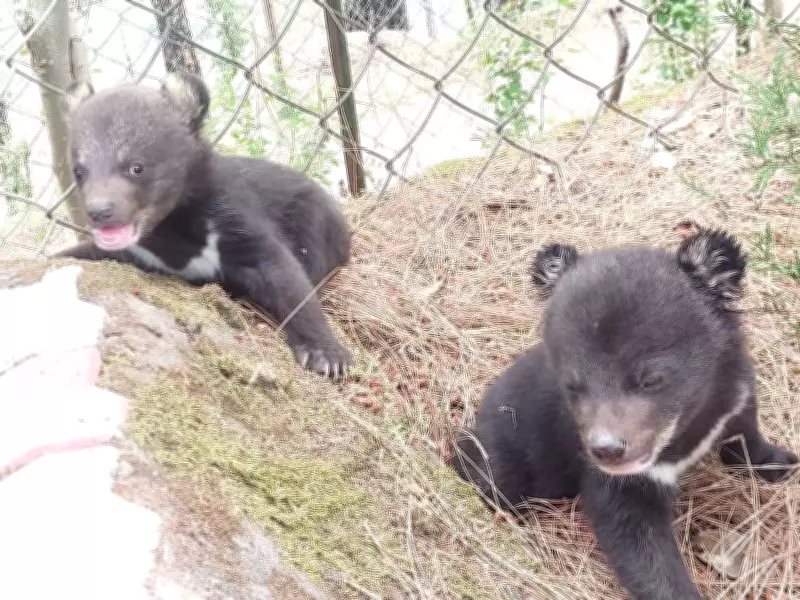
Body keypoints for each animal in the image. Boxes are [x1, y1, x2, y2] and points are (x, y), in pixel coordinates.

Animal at [54, 70, 352, 378]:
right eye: (79, 171)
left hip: (316, 216)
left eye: (136, 167)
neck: (171, 230)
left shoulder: (233, 217)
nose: (99, 212)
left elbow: (284, 274)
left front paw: (327, 356)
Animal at [452, 229, 797, 600]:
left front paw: (780, 462)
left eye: (651, 379)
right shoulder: (621, 481)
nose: (607, 450)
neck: (687, 426)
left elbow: (745, 428)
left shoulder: (735, 386)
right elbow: (635, 540)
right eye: (572, 385)